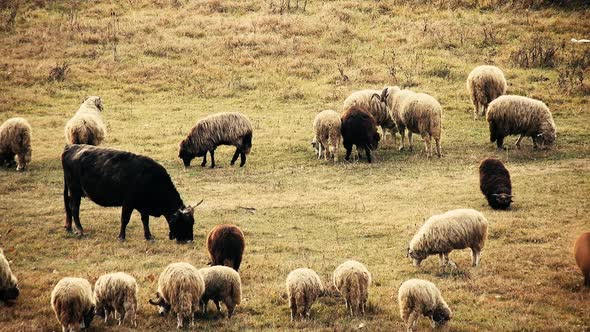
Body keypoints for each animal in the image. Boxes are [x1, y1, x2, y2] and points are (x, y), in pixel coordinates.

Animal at [62, 145, 197, 241]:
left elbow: (145, 220)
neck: (150, 178)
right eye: (184, 222)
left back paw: (69, 228)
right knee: (74, 208)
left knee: (68, 206)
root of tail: (71, 147)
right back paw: (80, 230)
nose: (189, 240)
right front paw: (121, 237)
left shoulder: (144, 205)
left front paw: (148, 236)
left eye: (192, 222)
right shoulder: (128, 202)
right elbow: (125, 219)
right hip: (75, 191)